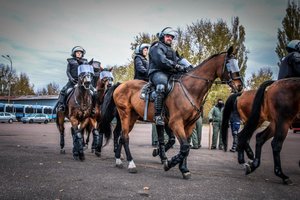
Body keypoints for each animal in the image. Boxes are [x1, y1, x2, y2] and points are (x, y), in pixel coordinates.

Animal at [101, 46, 244, 178]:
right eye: (229, 63)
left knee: (121, 136)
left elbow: (183, 146)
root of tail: (120, 85)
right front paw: (169, 163)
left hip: (131, 118)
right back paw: (131, 164)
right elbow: (184, 146)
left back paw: (118, 159)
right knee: (124, 137)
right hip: (125, 115)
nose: (240, 86)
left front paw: (182, 168)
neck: (189, 89)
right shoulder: (175, 123)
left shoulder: (188, 125)